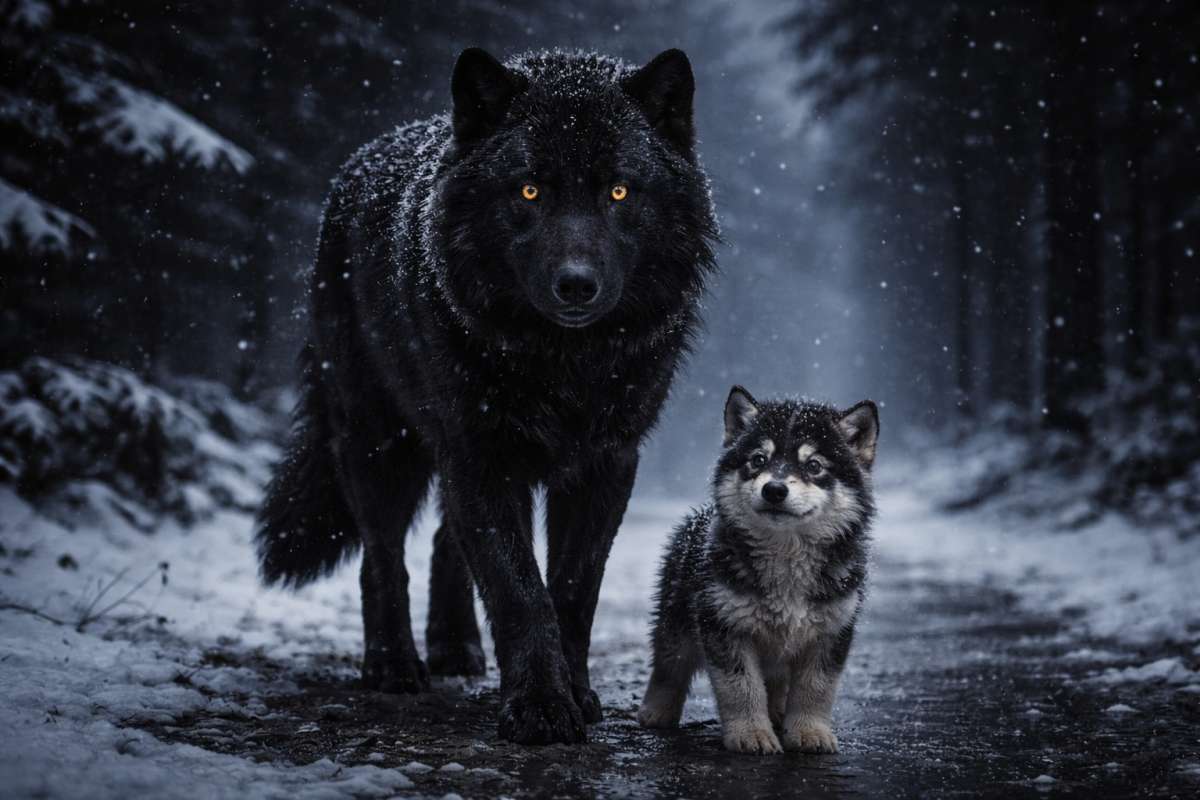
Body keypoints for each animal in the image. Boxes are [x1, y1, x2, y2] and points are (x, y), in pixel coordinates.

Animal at [254, 47, 717, 745]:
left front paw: (576, 695)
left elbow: (572, 590)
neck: (564, 365)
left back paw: (454, 650)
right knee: (382, 555)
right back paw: (394, 666)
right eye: (529, 190)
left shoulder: (606, 464)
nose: (575, 285)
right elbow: (518, 588)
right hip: (377, 442)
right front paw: (539, 709)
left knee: (446, 542)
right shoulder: (482, 456)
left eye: (618, 191)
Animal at [638, 386, 878, 754]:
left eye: (814, 465)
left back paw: (778, 711)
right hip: (677, 620)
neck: (786, 556)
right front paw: (751, 734)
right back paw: (657, 710)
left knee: (776, 680)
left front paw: (809, 731)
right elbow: (741, 687)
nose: (774, 489)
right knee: (669, 664)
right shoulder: (723, 624)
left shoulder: (832, 629)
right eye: (758, 460)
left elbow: (817, 688)